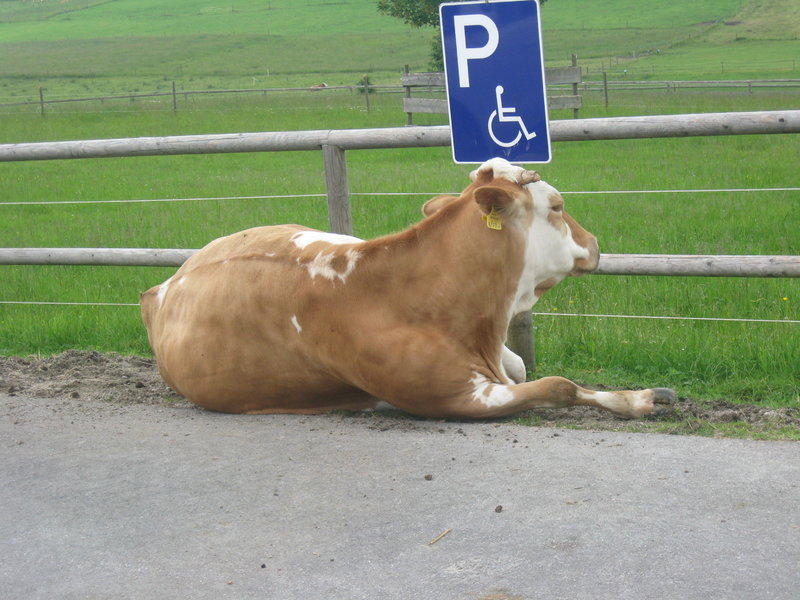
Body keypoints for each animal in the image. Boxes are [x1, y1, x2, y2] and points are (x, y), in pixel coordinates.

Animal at [142, 157, 676, 420]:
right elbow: (557, 385)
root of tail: (161, 288)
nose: (595, 244)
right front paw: (639, 400)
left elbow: (528, 369)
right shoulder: (454, 398)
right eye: (559, 207)